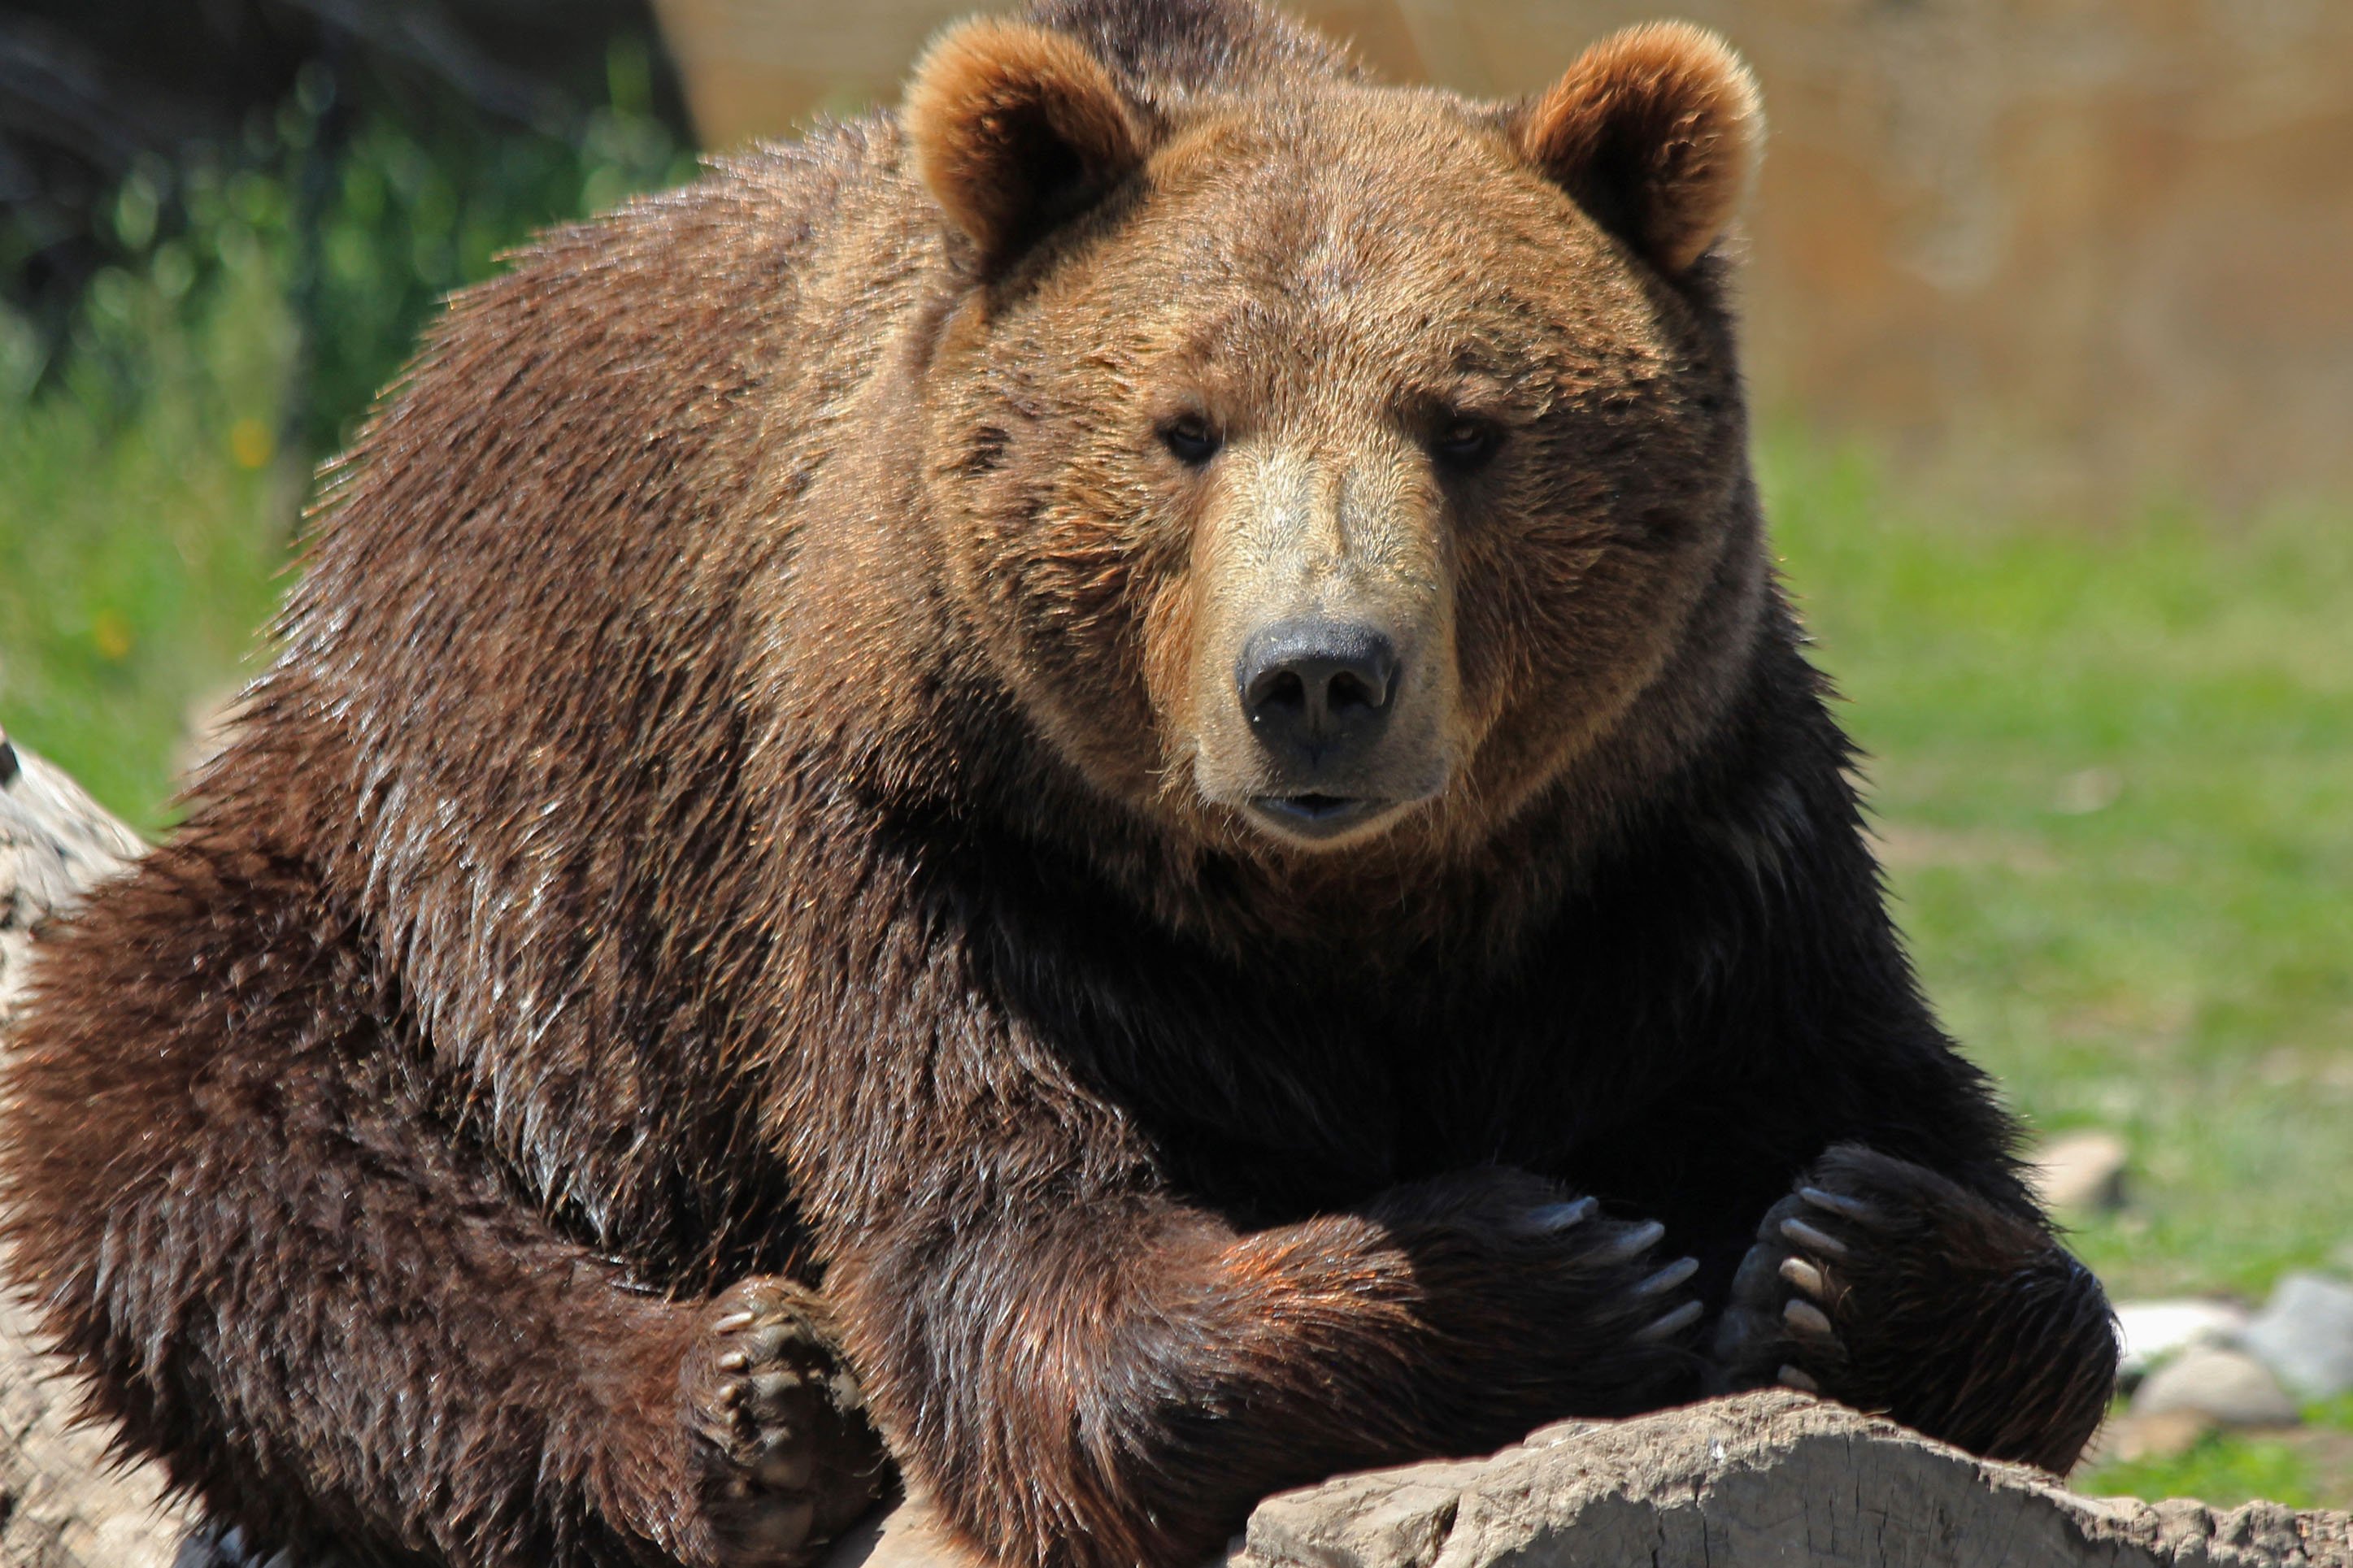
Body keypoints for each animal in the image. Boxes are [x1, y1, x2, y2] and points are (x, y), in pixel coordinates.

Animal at [0, 2, 2127, 1568]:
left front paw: (1845, 1246)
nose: (1316, 679)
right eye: (1185, 425)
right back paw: (742, 1403)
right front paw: (1544, 1263)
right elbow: (1022, 1261)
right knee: (216, 1129)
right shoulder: (946, 841)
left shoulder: (1679, 832)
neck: (1353, 918)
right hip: (439, 855)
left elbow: (1905, 1131)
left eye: (1469, 423)